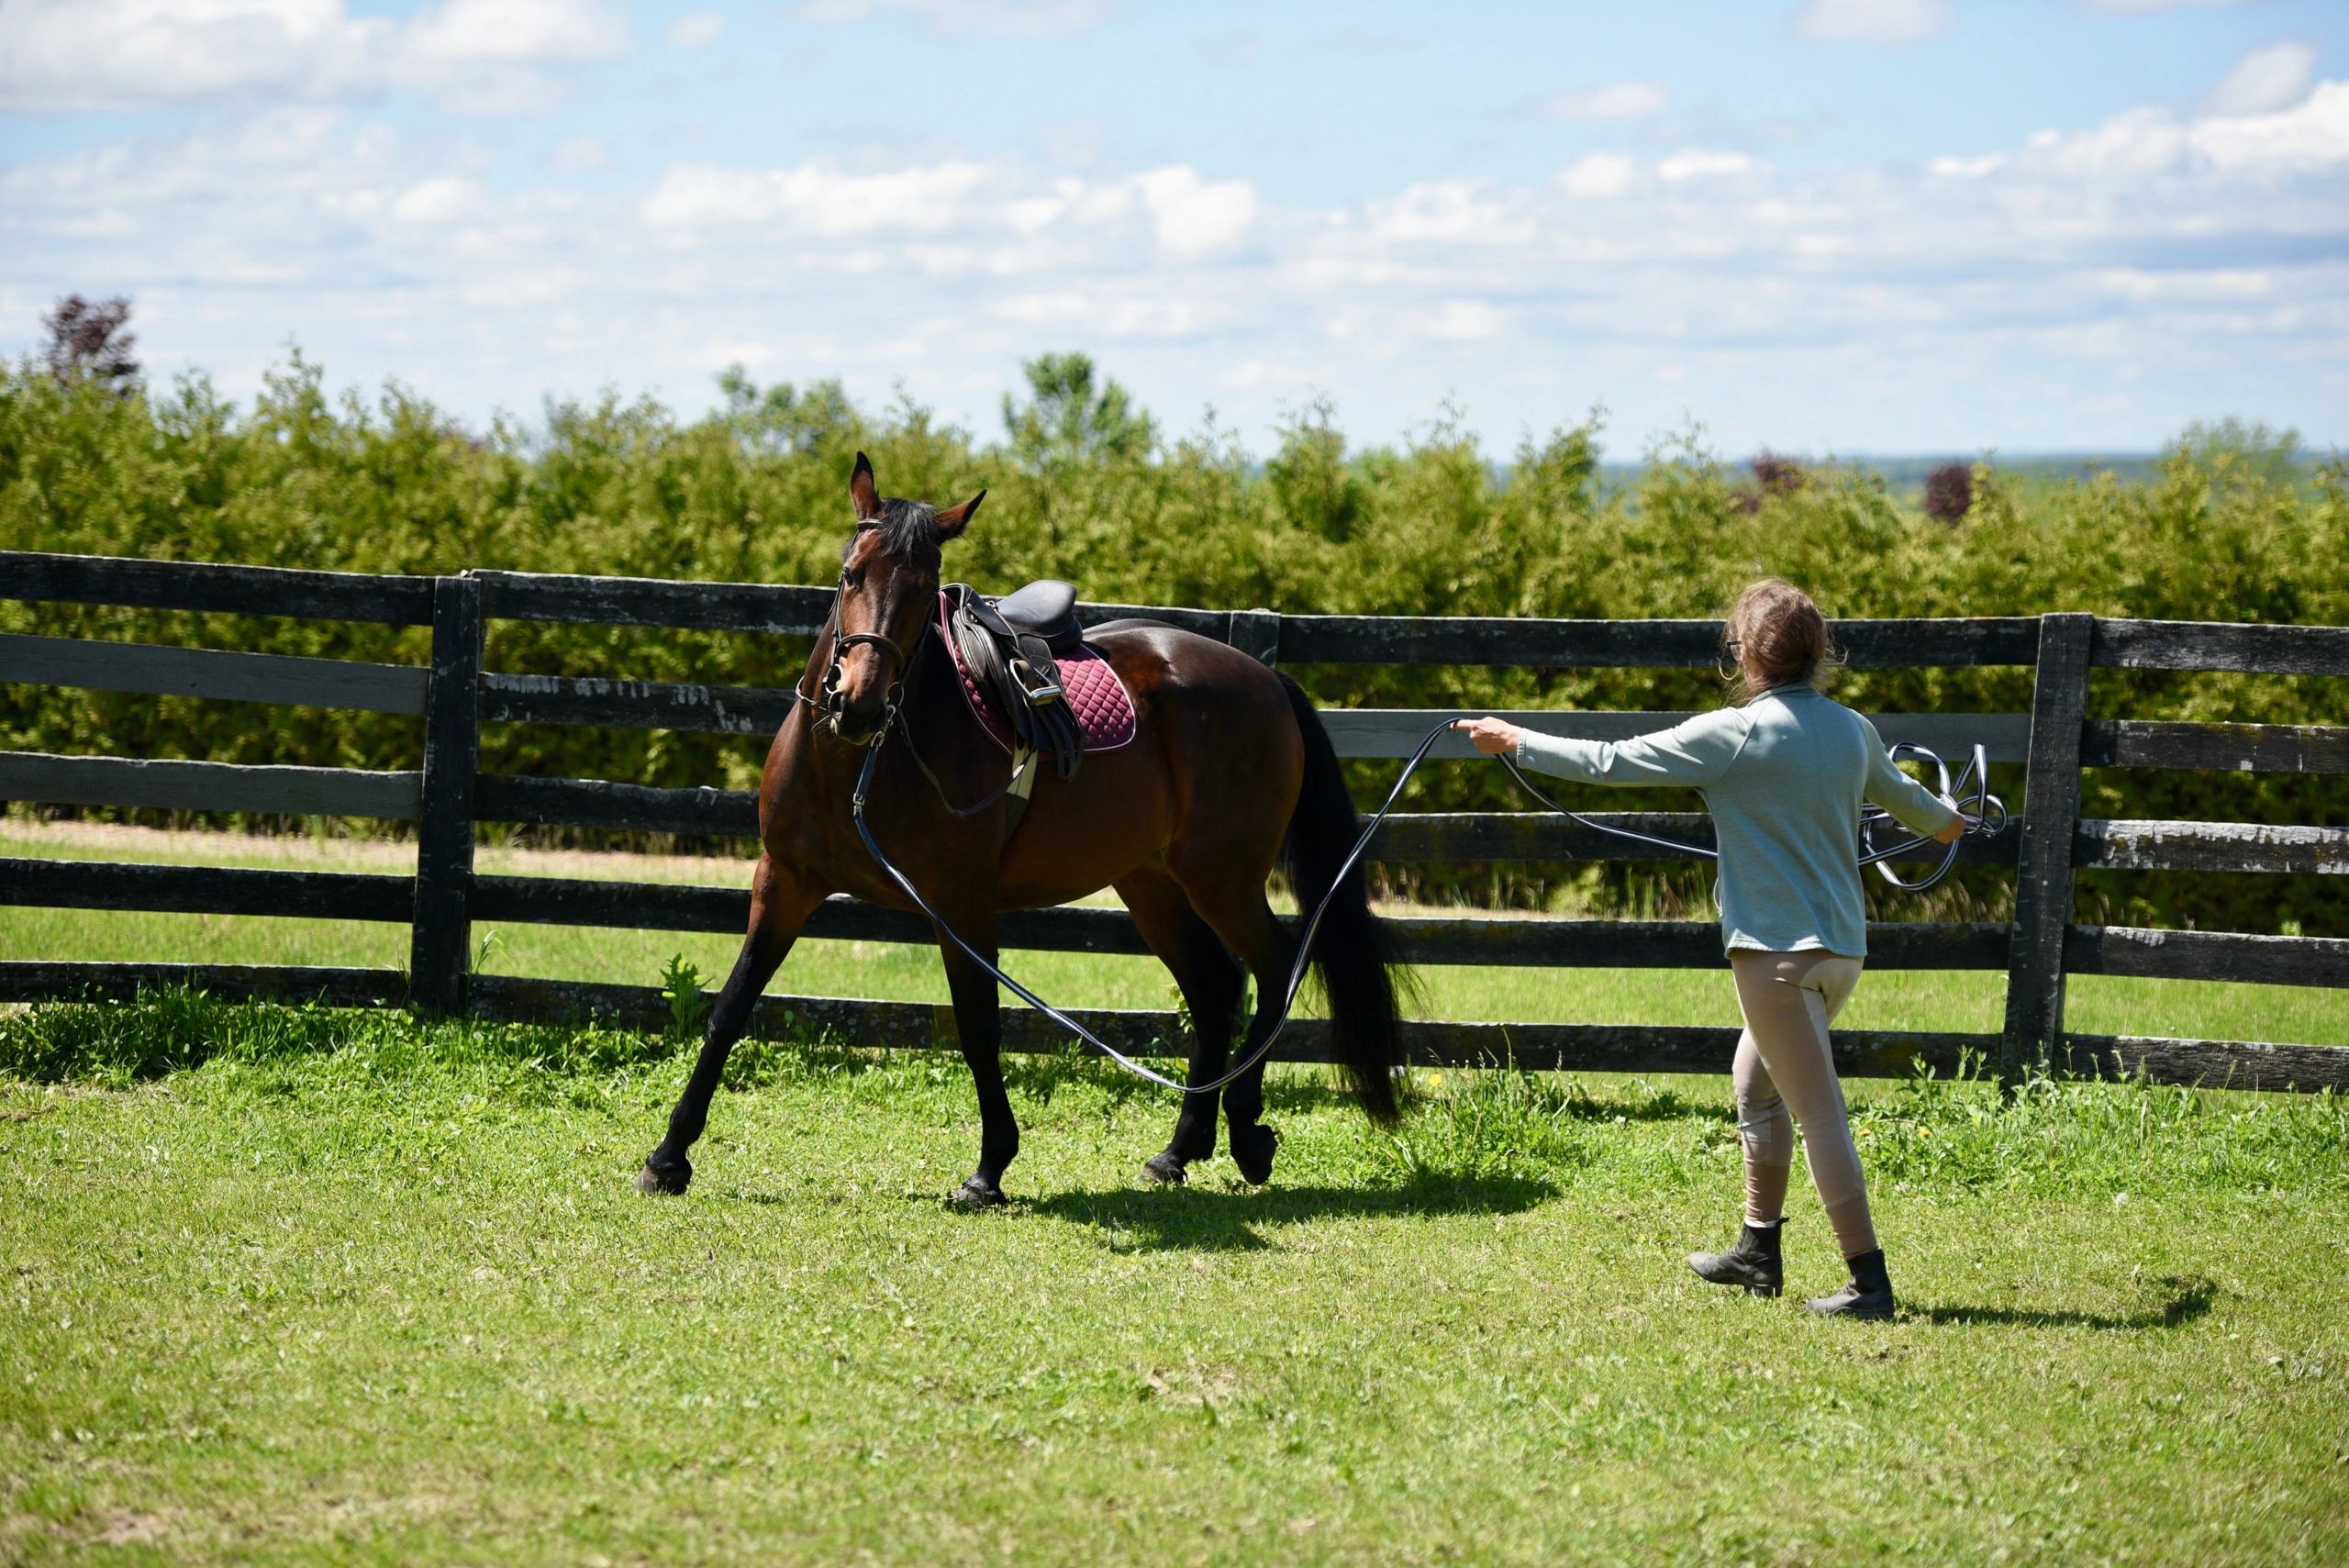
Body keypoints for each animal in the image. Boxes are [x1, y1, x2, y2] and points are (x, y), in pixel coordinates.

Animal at [636, 453, 1409, 1207]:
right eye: (850, 573)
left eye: (925, 590)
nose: (858, 703)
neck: (856, 763)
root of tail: (1267, 680)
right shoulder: (785, 881)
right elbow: (731, 1007)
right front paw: (669, 1156)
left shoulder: (958, 901)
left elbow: (979, 1026)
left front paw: (989, 1167)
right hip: (1151, 882)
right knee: (1217, 986)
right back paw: (1178, 1151)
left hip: (1222, 878)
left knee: (1275, 968)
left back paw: (1247, 1132)